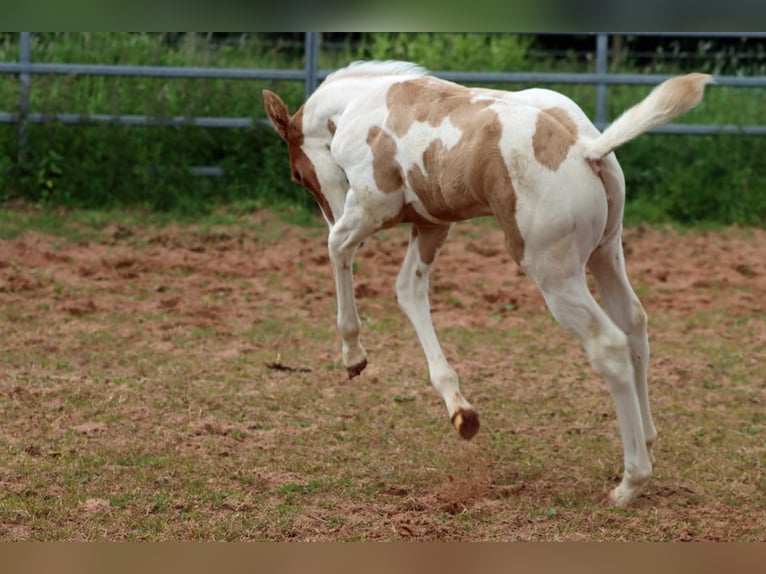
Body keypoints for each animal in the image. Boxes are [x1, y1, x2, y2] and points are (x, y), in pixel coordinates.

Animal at [263, 60, 711, 506]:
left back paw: (630, 482)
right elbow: (408, 290)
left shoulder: (374, 207)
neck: (361, 104)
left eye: (298, 175)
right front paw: (461, 412)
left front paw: (353, 356)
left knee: (609, 345)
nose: (330, 212)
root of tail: (586, 149)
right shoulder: (432, 224)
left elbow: (337, 248)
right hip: (606, 253)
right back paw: (648, 440)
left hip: (554, 275)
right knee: (634, 325)